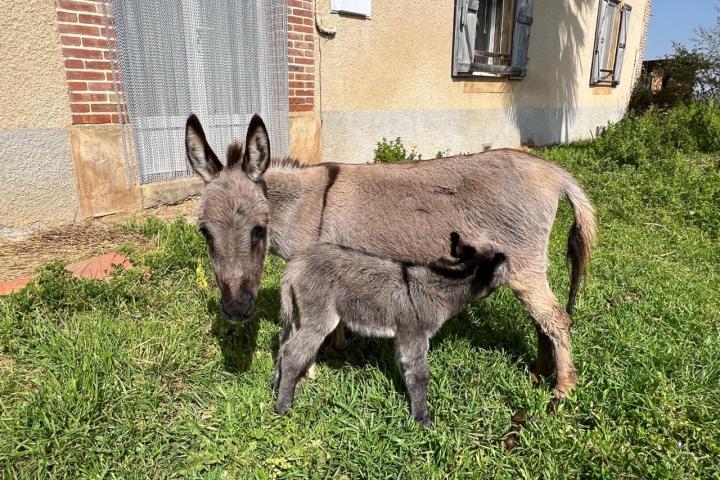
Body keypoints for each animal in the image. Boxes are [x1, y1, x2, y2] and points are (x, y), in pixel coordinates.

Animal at [274, 234, 506, 426]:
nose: (505, 256)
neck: (441, 286)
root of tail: (296, 264)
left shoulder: (404, 336)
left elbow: (405, 368)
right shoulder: (415, 334)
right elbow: (420, 375)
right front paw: (422, 419)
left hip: (300, 314)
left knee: (285, 344)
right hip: (319, 317)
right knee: (293, 352)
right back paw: (283, 405)